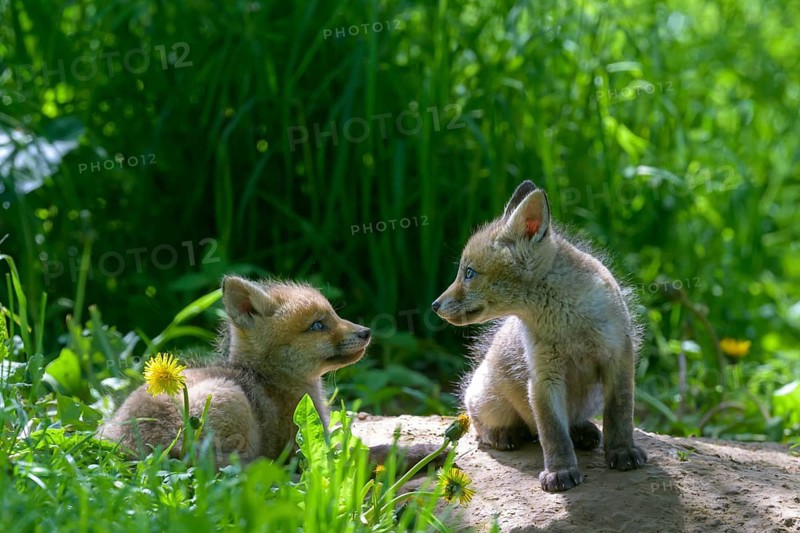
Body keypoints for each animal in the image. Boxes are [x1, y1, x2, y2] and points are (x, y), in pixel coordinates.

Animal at [100, 276, 435, 468]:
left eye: (335, 315)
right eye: (317, 325)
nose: (366, 332)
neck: (273, 380)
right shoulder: (307, 448)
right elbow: (373, 452)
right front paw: (425, 451)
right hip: (229, 397)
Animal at [432, 180, 647, 492]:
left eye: (469, 273)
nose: (434, 305)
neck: (568, 323)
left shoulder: (618, 357)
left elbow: (619, 413)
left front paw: (622, 451)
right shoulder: (543, 376)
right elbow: (552, 431)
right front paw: (560, 470)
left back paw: (582, 431)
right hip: (487, 401)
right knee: (484, 426)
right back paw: (503, 434)